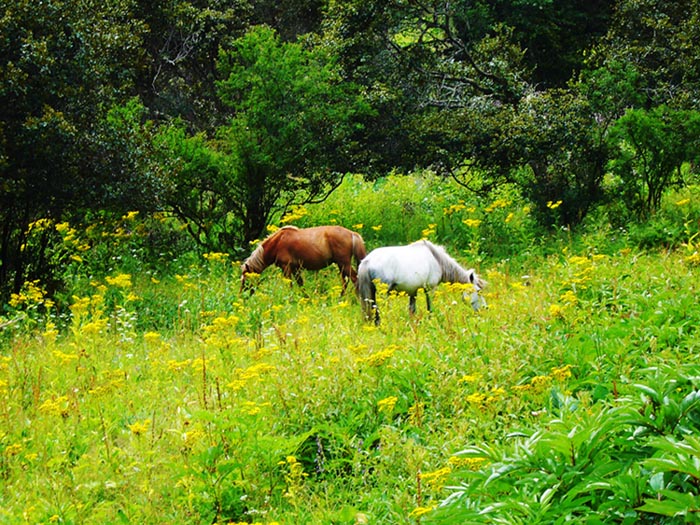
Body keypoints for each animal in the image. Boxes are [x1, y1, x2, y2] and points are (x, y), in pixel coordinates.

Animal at [356, 241, 486, 324]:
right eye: (479, 291)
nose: (485, 309)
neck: (436, 260)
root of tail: (367, 261)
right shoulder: (430, 289)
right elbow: (430, 308)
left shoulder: (413, 292)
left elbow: (412, 310)